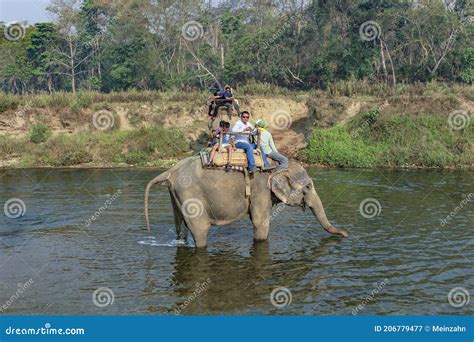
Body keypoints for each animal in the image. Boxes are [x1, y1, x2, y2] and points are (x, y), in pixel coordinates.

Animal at [143, 156, 346, 248]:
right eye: (308, 187)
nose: (346, 234)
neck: (276, 165)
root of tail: (170, 171)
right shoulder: (260, 189)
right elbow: (260, 222)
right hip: (190, 195)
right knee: (200, 230)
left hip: (176, 194)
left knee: (180, 226)